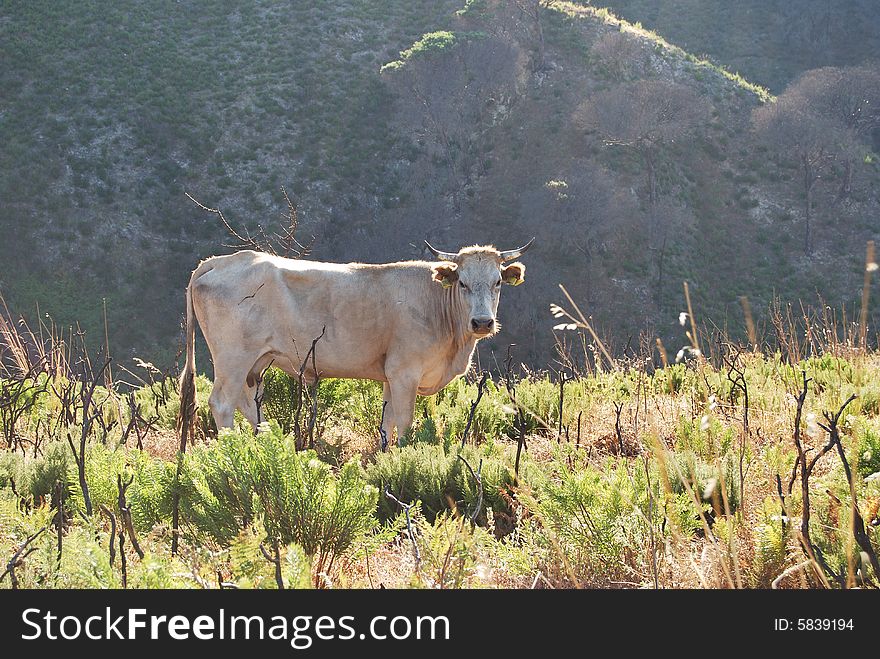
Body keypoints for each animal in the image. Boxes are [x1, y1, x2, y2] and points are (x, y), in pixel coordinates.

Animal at [178, 238, 532, 444]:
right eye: (462, 282)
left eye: (498, 281)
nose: (482, 322)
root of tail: (219, 261)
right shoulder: (405, 373)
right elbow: (404, 423)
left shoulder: (390, 375)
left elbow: (388, 424)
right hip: (232, 358)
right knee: (222, 403)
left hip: (255, 362)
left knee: (246, 401)